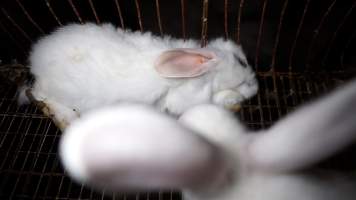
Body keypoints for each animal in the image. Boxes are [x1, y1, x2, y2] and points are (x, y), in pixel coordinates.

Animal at [21, 23, 256, 130]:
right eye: (242, 62)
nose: (256, 87)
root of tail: (37, 59)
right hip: (55, 92)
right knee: (39, 95)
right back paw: (66, 118)